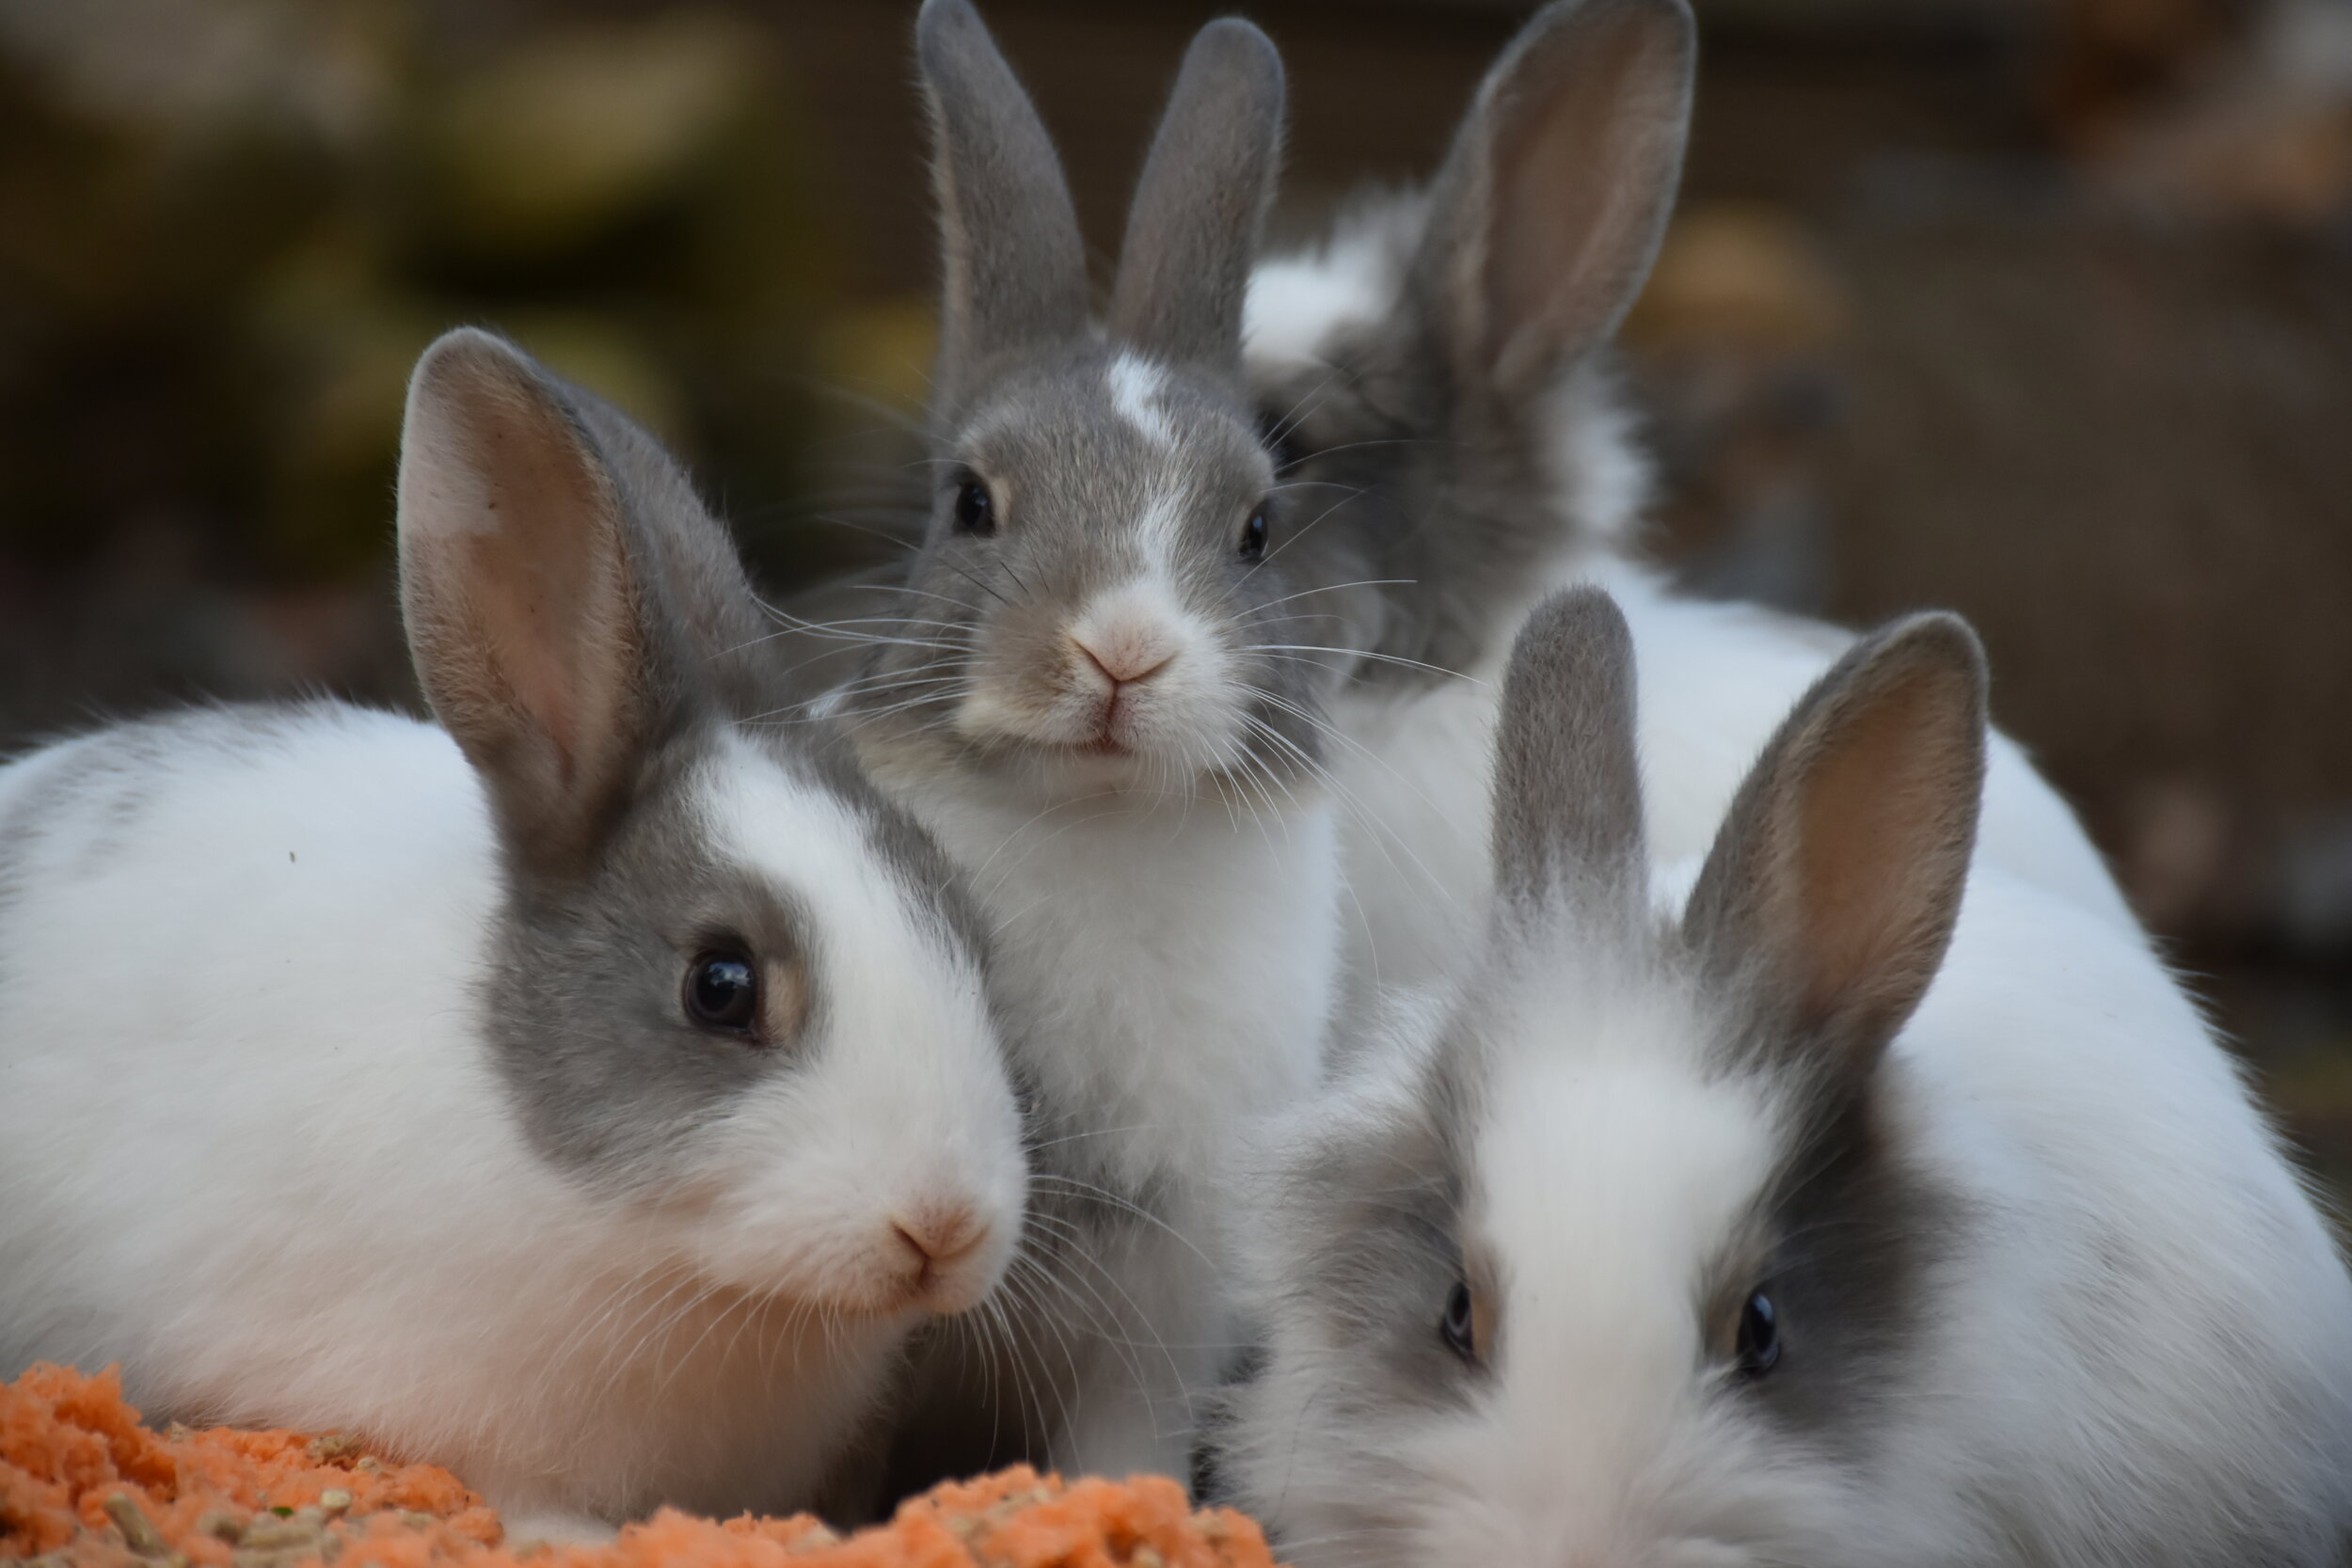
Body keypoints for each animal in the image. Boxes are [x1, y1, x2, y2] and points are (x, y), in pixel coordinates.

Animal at [828, 0, 1345, 1495]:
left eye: (1256, 527)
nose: (1122, 646)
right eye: (970, 502)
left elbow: (1123, 1444)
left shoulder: (1160, 1319)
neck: (1099, 819)